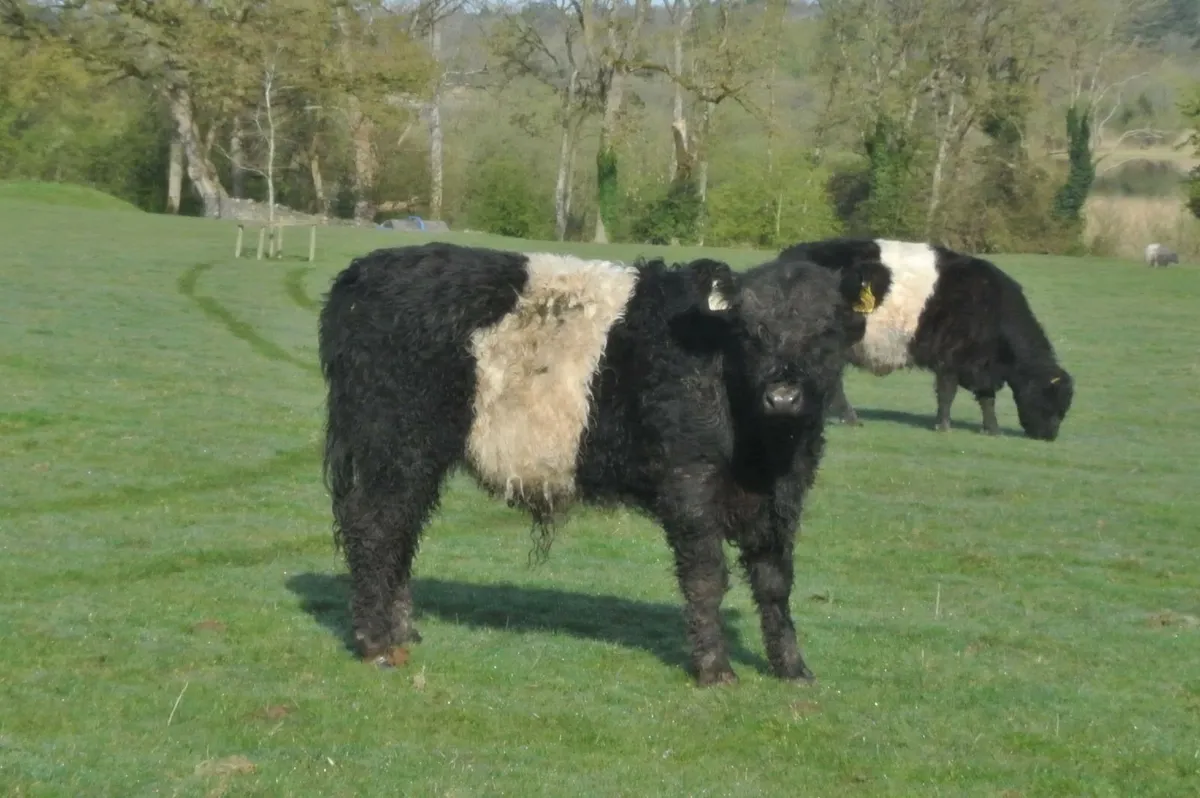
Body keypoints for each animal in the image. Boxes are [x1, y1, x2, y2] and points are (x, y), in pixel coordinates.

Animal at [317, 241, 891, 686]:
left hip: (415, 455)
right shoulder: (689, 481)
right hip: (394, 443)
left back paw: (402, 631)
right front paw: (715, 669)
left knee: (401, 532)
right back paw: (375, 643)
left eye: (826, 331)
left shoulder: (785, 492)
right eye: (750, 331)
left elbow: (775, 579)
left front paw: (792, 667)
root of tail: (364, 270)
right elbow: (706, 576)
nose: (784, 396)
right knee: (376, 527)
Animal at [779, 238, 1074, 441]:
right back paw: (849, 418)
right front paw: (943, 426)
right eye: (1051, 400)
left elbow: (986, 399)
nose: (1049, 436)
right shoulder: (950, 357)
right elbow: (947, 393)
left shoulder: (980, 364)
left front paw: (992, 429)